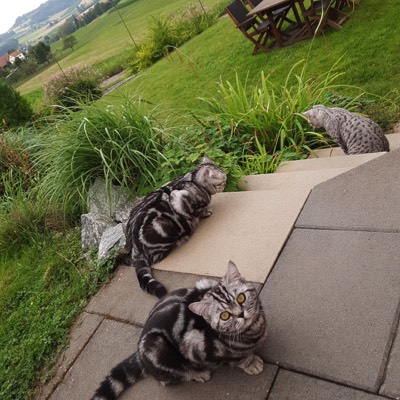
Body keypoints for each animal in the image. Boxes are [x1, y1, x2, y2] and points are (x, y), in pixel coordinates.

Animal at [91, 261, 267, 400]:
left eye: (241, 298)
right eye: (225, 316)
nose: (241, 314)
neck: (254, 328)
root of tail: (140, 354)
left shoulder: (204, 283)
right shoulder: (194, 346)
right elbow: (236, 358)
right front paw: (250, 362)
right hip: (156, 346)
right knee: (166, 379)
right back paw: (197, 373)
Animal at [125, 156, 227, 298]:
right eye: (222, 181)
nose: (226, 182)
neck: (193, 181)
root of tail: (135, 249)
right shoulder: (179, 199)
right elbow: (197, 211)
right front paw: (206, 212)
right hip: (162, 226)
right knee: (157, 257)